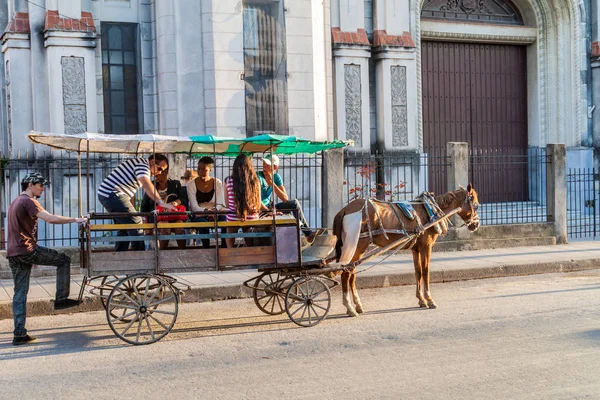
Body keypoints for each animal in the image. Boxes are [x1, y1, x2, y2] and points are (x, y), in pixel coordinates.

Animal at [330, 183, 480, 318]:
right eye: (476, 205)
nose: (476, 224)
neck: (431, 211)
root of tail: (345, 210)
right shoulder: (426, 246)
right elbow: (425, 272)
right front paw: (430, 300)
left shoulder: (416, 248)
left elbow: (418, 272)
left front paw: (421, 300)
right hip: (357, 246)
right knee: (346, 274)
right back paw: (350, 307)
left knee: (352, 275)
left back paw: (358, 305)